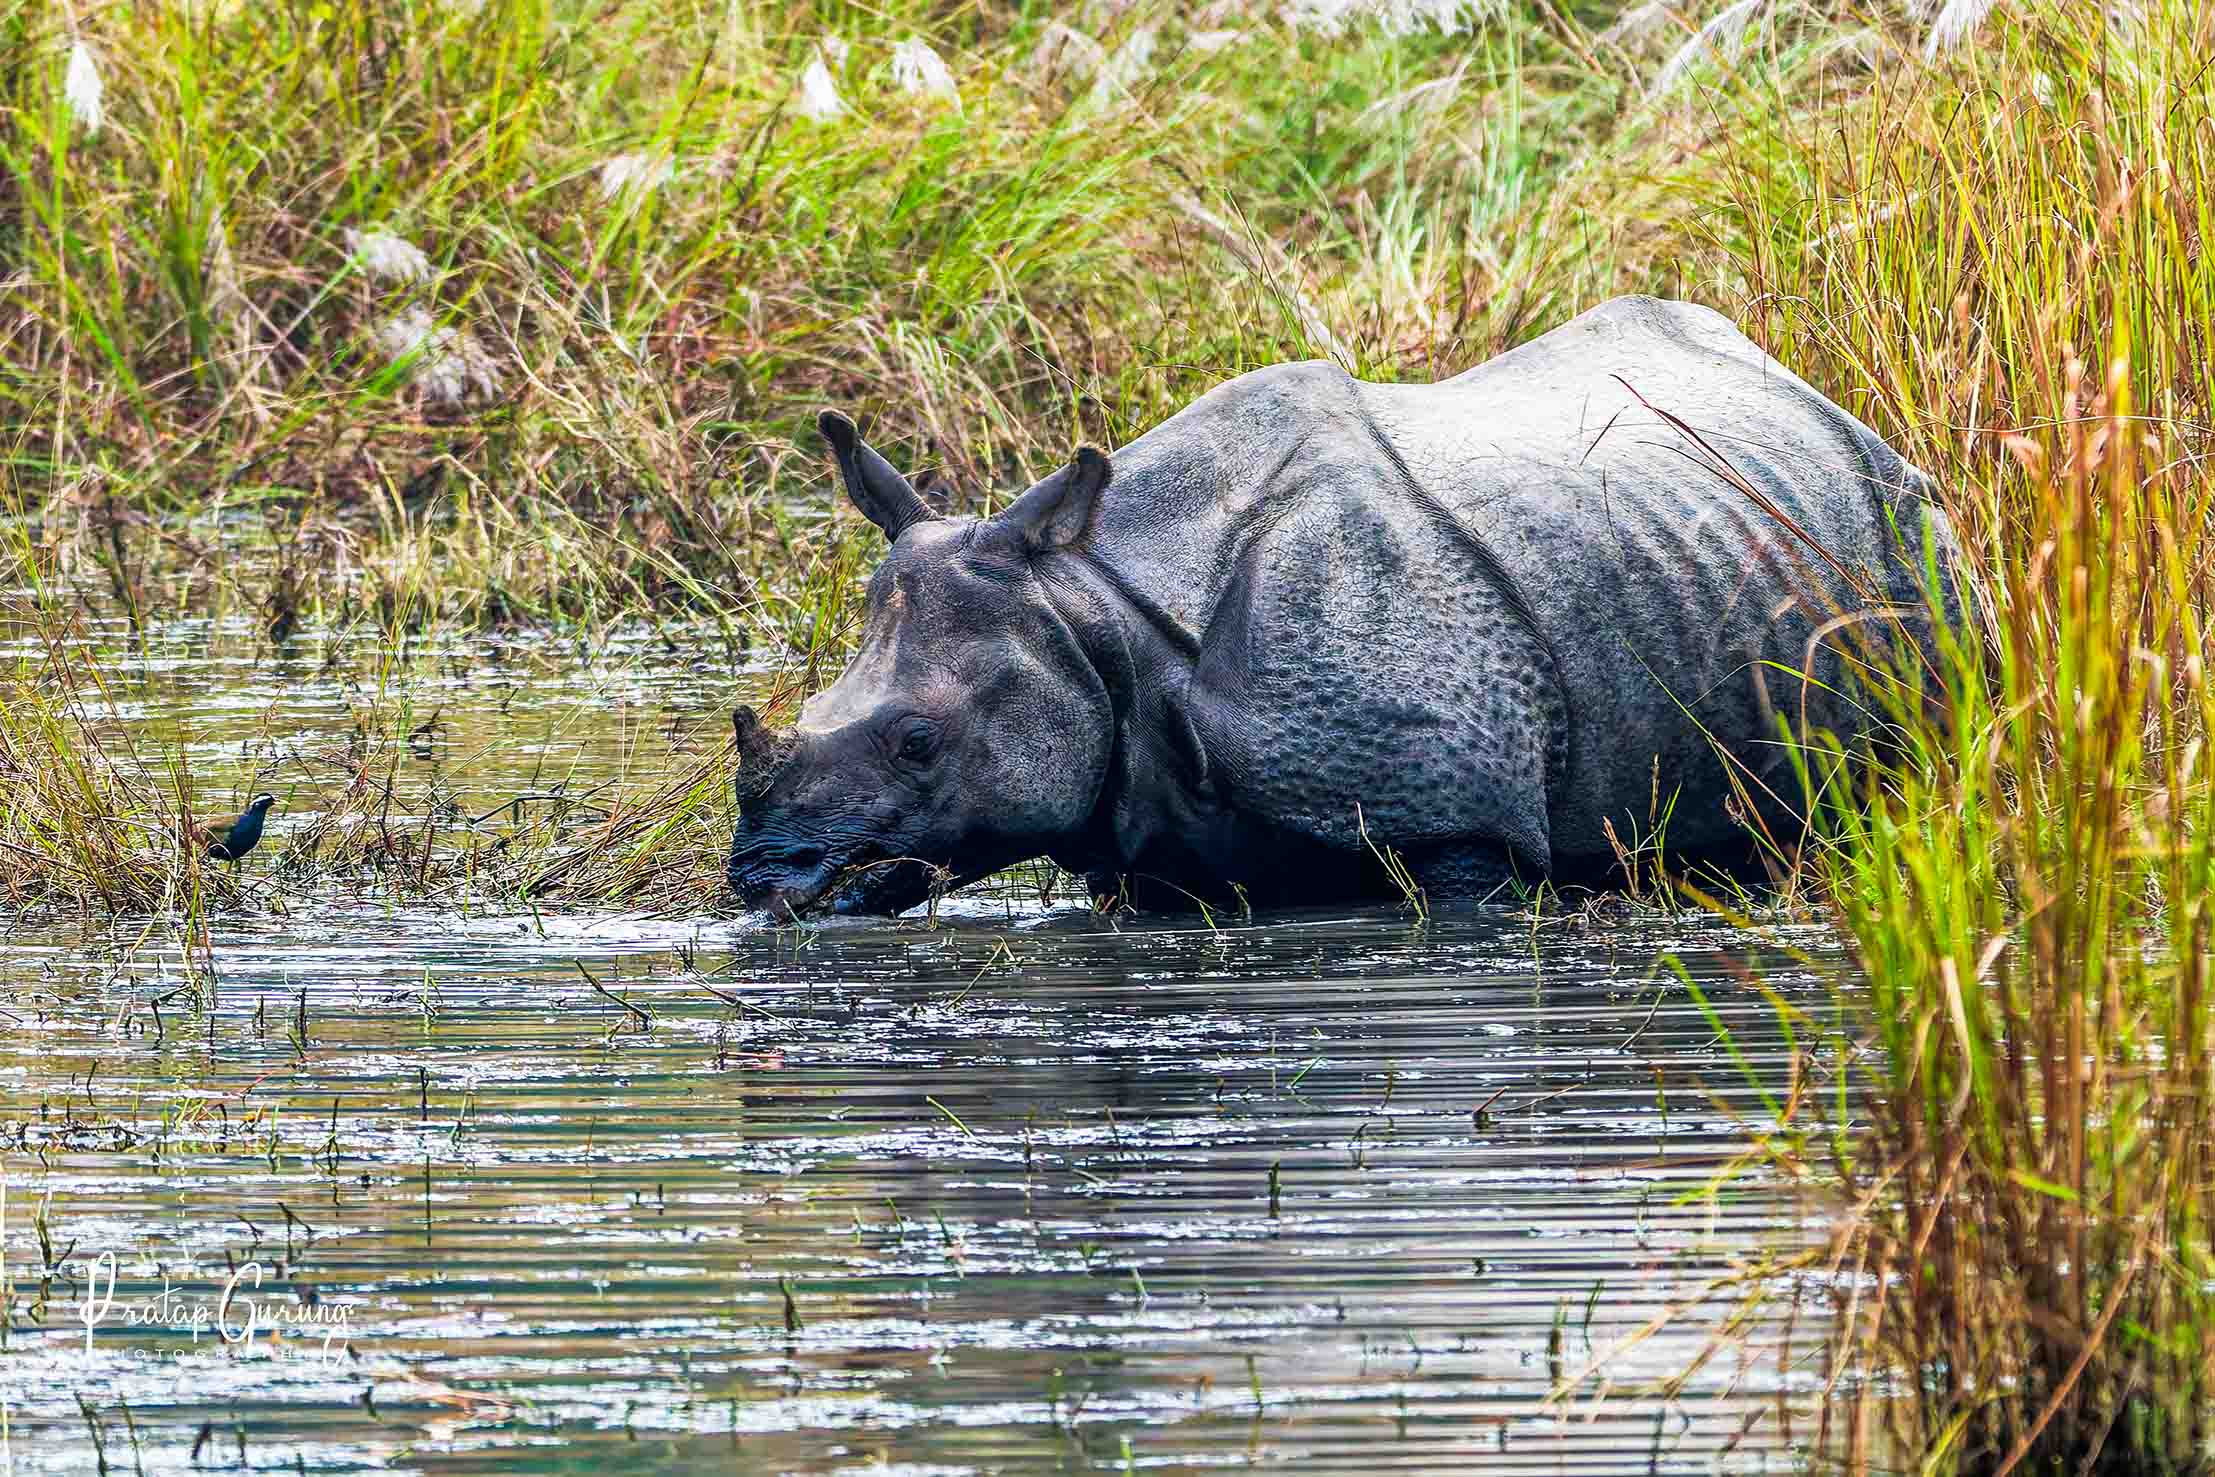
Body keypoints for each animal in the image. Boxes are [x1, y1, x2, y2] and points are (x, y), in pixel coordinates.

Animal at [725, 296, 1960, 917]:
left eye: (919, 740)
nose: (761, 883)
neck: (1090, 602)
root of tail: (1815, 392)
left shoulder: (1455, 824)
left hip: (1911, 530)